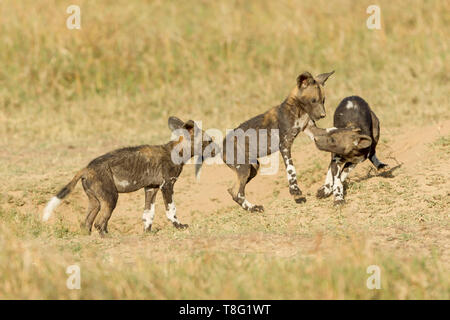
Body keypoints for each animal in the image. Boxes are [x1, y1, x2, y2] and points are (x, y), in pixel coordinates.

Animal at [42, 117, 216, 235]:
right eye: (208, 141)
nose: (217, 149)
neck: (178, 151)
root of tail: (87, 168)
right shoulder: (167, 186)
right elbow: (171, 210)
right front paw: (179, 226)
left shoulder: (151, 188)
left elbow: (148, 214)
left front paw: (148, 232)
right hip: (111, 198)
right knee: (100, 223)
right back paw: (110, 237)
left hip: (96, 202)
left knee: (87, 224)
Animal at [218, 71, 334, 211]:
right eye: (313, 100)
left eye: (323, 100)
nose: (323, 115)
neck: (299, 110)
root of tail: (222, 147)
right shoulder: (284, 145)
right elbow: (291, 170)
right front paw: (295, 191)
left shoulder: (311, 130)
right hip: (244, 169)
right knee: (238, 193)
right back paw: (253, 208)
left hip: (252, 168)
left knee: (233, 191)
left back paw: (251, 208)